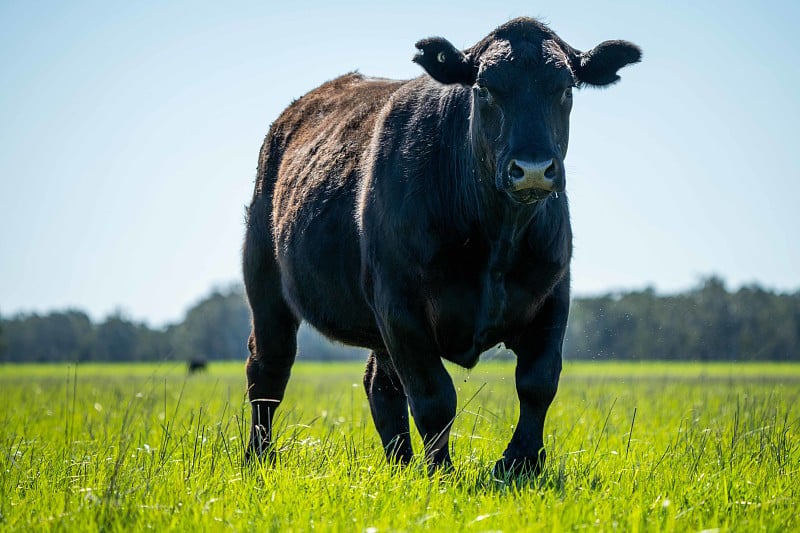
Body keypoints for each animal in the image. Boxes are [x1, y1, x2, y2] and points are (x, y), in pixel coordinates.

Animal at [241, 17, 640, 474]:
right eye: (485, 88)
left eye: (565, 88)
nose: (533, 169)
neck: (496, 240)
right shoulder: (400, 305)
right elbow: (435, 396)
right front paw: (441, 473)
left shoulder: (554, 293)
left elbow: (538, 382)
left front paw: (520, 463)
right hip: (265, 284)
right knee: (268, 369)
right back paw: (259, 456)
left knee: (380, 386)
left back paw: (398, 463)